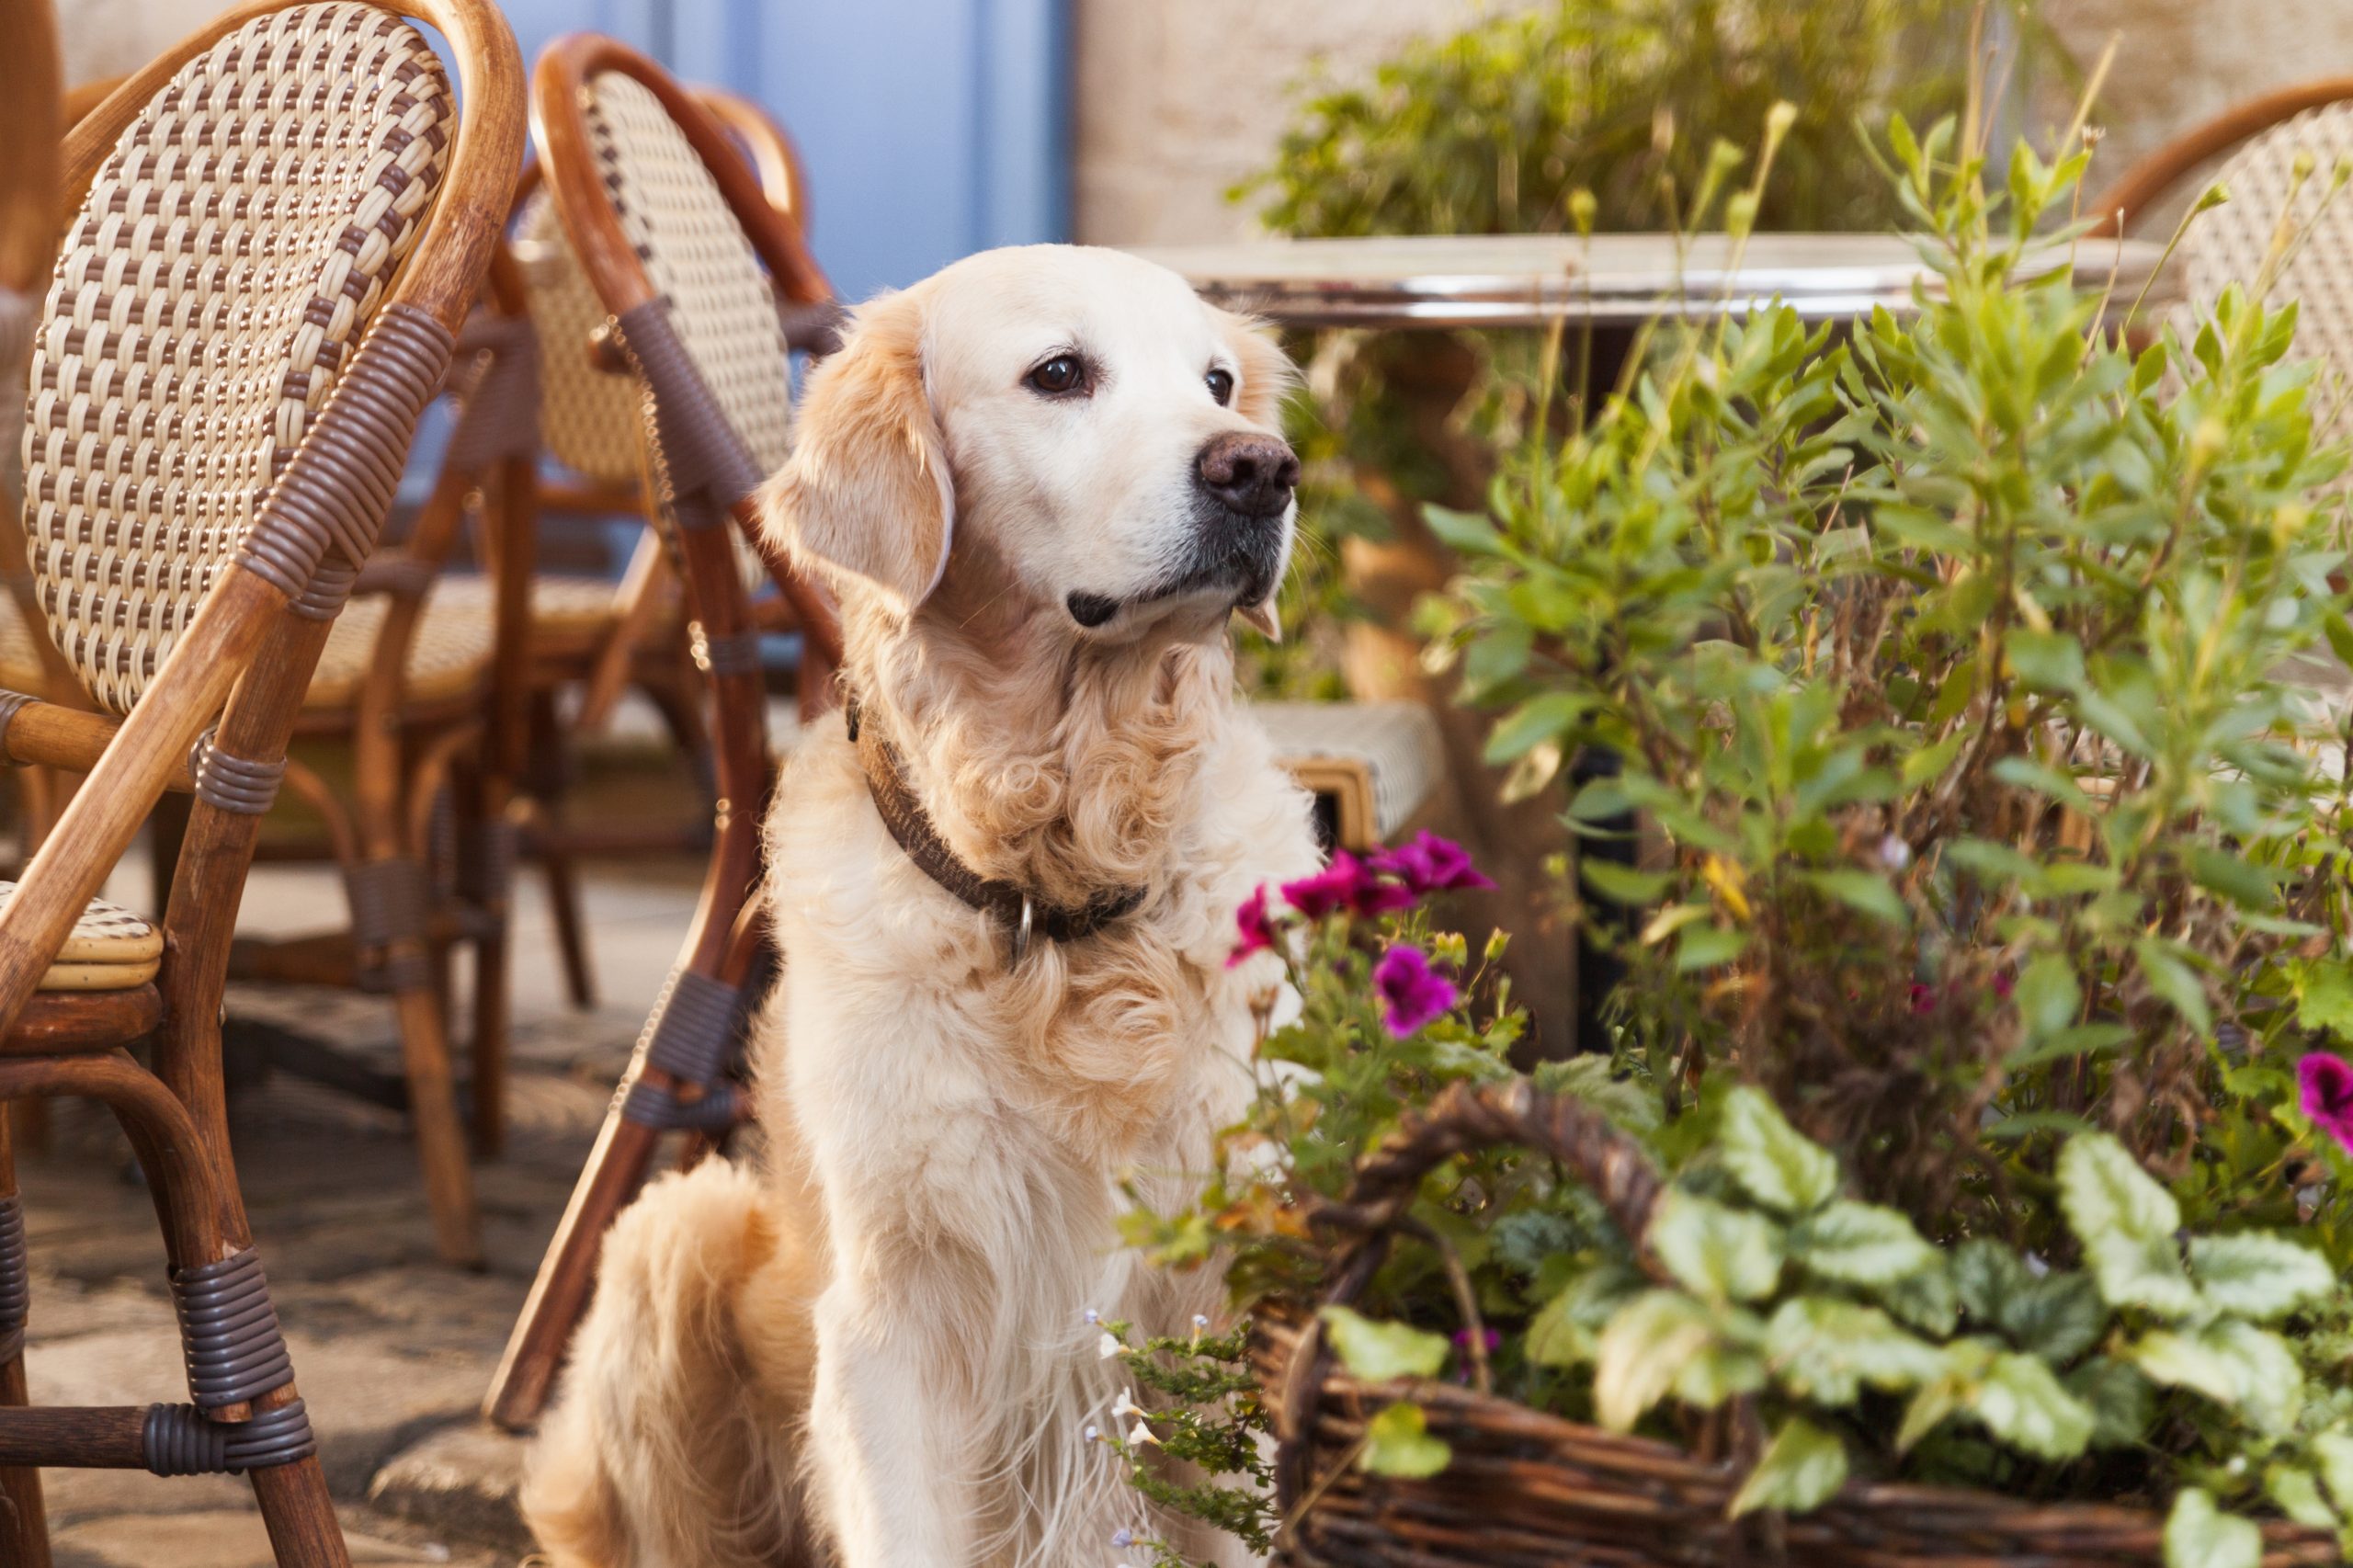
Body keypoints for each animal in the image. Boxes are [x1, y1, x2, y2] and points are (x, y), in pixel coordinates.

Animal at [529, 244, 1326, 1562]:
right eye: (1060, 373)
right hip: (669, 1231)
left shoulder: (1232, 1295)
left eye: (1218, 381)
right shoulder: (893, 1317)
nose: (1259, 468)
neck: (1052, 889)